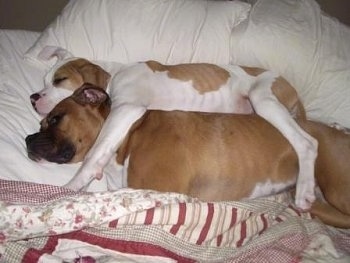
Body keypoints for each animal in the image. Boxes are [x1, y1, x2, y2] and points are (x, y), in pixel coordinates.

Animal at [31, 45, 318, 210]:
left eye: (59, 80)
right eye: (44, 80)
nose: (34, 97)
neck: (115, 77)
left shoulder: (127, 110)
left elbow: (93, 154)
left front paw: (73, 185)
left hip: (264, 98)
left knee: (307, 142)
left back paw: (304, 190)